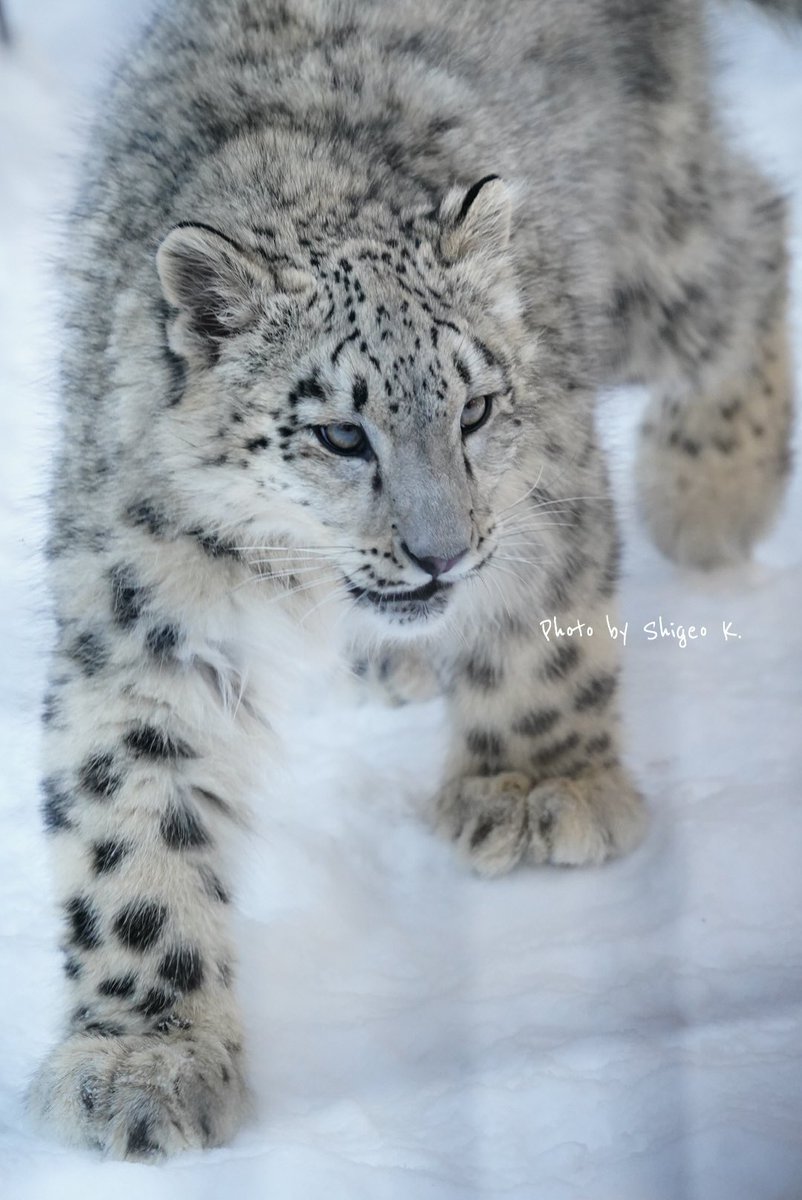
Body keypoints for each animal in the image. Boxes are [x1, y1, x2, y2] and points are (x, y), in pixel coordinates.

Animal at [29, 0, 794, 1160]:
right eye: (341, 434)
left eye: (475, 408)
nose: (443, 551)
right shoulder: (142, 611)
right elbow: (134, 817)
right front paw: (142, 1064)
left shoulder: (542, 496)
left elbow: (536, 636)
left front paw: (535, 793)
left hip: (654, 262)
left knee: (750, 236)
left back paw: (707, 496)